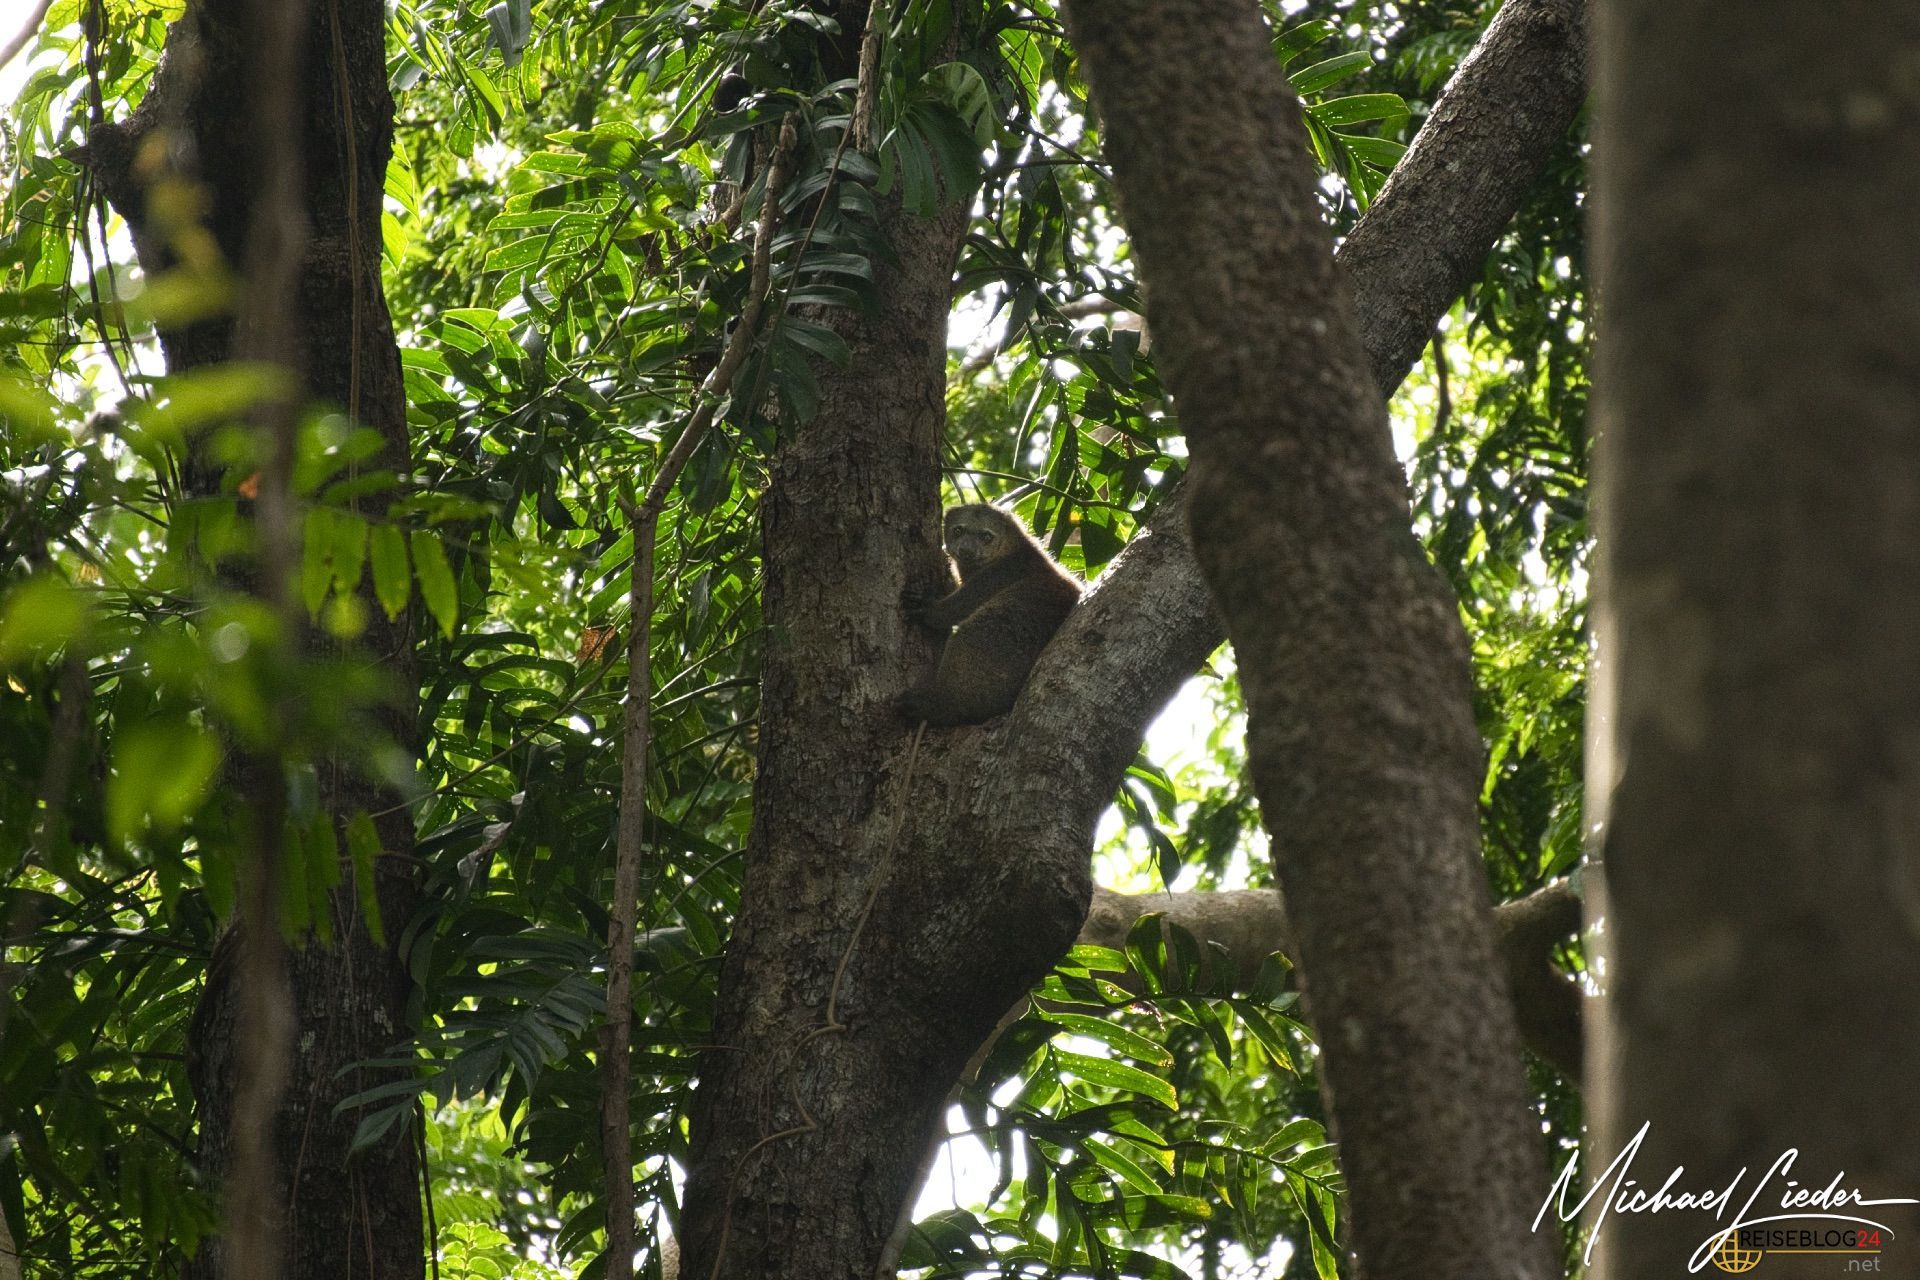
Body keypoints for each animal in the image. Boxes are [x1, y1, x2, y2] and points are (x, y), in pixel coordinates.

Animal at [901, 504, 1083, 727]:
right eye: (958, 530)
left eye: (986, 536)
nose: (966, 549)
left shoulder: (997, 575)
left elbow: (955, 610)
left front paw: (926, 607)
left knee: (968, 637)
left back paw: (935, 705)